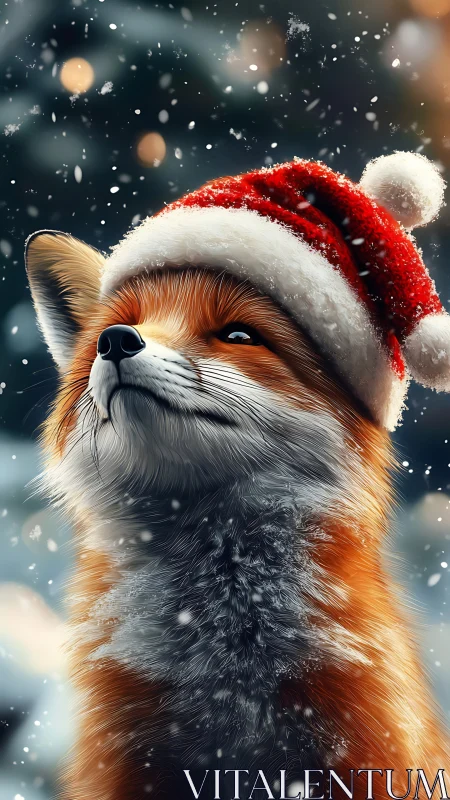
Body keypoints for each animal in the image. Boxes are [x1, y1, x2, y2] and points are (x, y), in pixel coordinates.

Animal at [25, 154, 450, 800]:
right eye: (120, 325)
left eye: (239, 335)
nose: (116, 342)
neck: (226, 678)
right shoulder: (123, 764)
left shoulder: (366, 755)